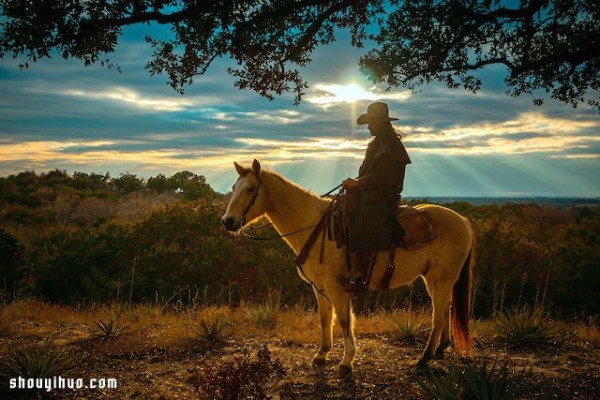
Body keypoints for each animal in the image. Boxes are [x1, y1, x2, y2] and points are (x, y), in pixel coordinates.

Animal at [220, 160, 474, 372]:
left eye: (250, 189)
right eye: (234, 187)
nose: (228, 221)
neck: (314, 226)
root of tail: (463, 221)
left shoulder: (336, 286)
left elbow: (343, 319)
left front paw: (346, 360)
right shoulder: (318, 287)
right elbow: (325, 318)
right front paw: (321, 355)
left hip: (440, 279)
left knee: (438, 314)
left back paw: (424, 357)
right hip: (436, 280)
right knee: (447, 308)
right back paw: (440, 349)